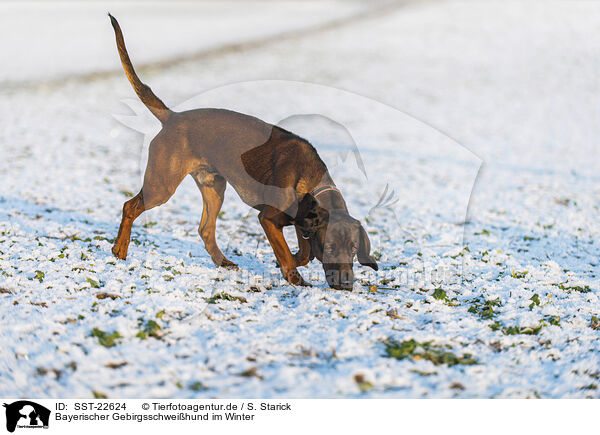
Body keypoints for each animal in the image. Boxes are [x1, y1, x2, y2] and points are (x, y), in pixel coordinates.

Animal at [107, 15, 378, 292]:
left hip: (214, 187)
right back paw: (120, 249)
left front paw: (291, 263)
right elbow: (287, 253)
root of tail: (173, 117)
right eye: (330, 247)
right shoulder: (268, 219)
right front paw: (294, 278)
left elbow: (303, 252)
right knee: (130, 206)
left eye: (354, 249)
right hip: (161, 186)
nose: (345, 285)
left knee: (205, 229)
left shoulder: (301, 222)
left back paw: (223, 262)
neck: (311, 181)